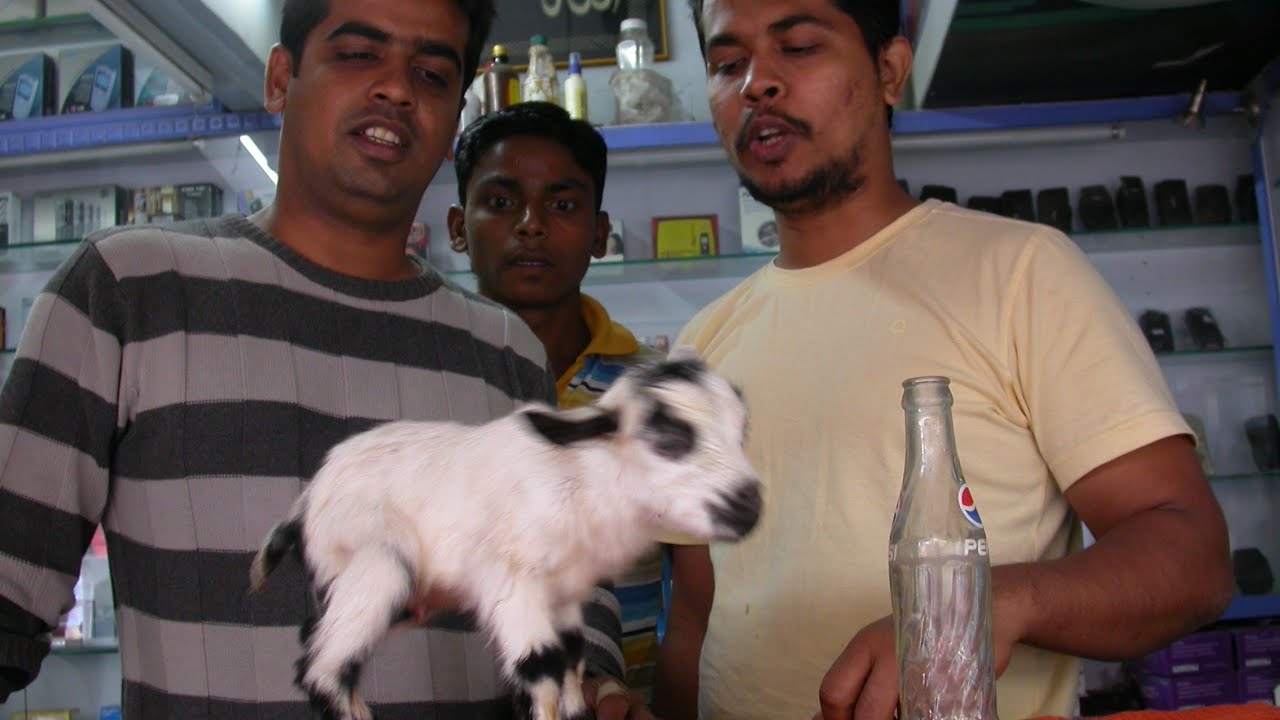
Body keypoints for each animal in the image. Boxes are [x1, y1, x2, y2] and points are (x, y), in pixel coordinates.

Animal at [249, 353, 762, 720]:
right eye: (671, 439)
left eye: (741, 432)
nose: (749, 506)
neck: (584, 476)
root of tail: (308, 498)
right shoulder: (512, 581)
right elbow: (541, 664)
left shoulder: (565, 592)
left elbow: (571, 655)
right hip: (377, 560)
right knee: (324, 668)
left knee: (317, 640)